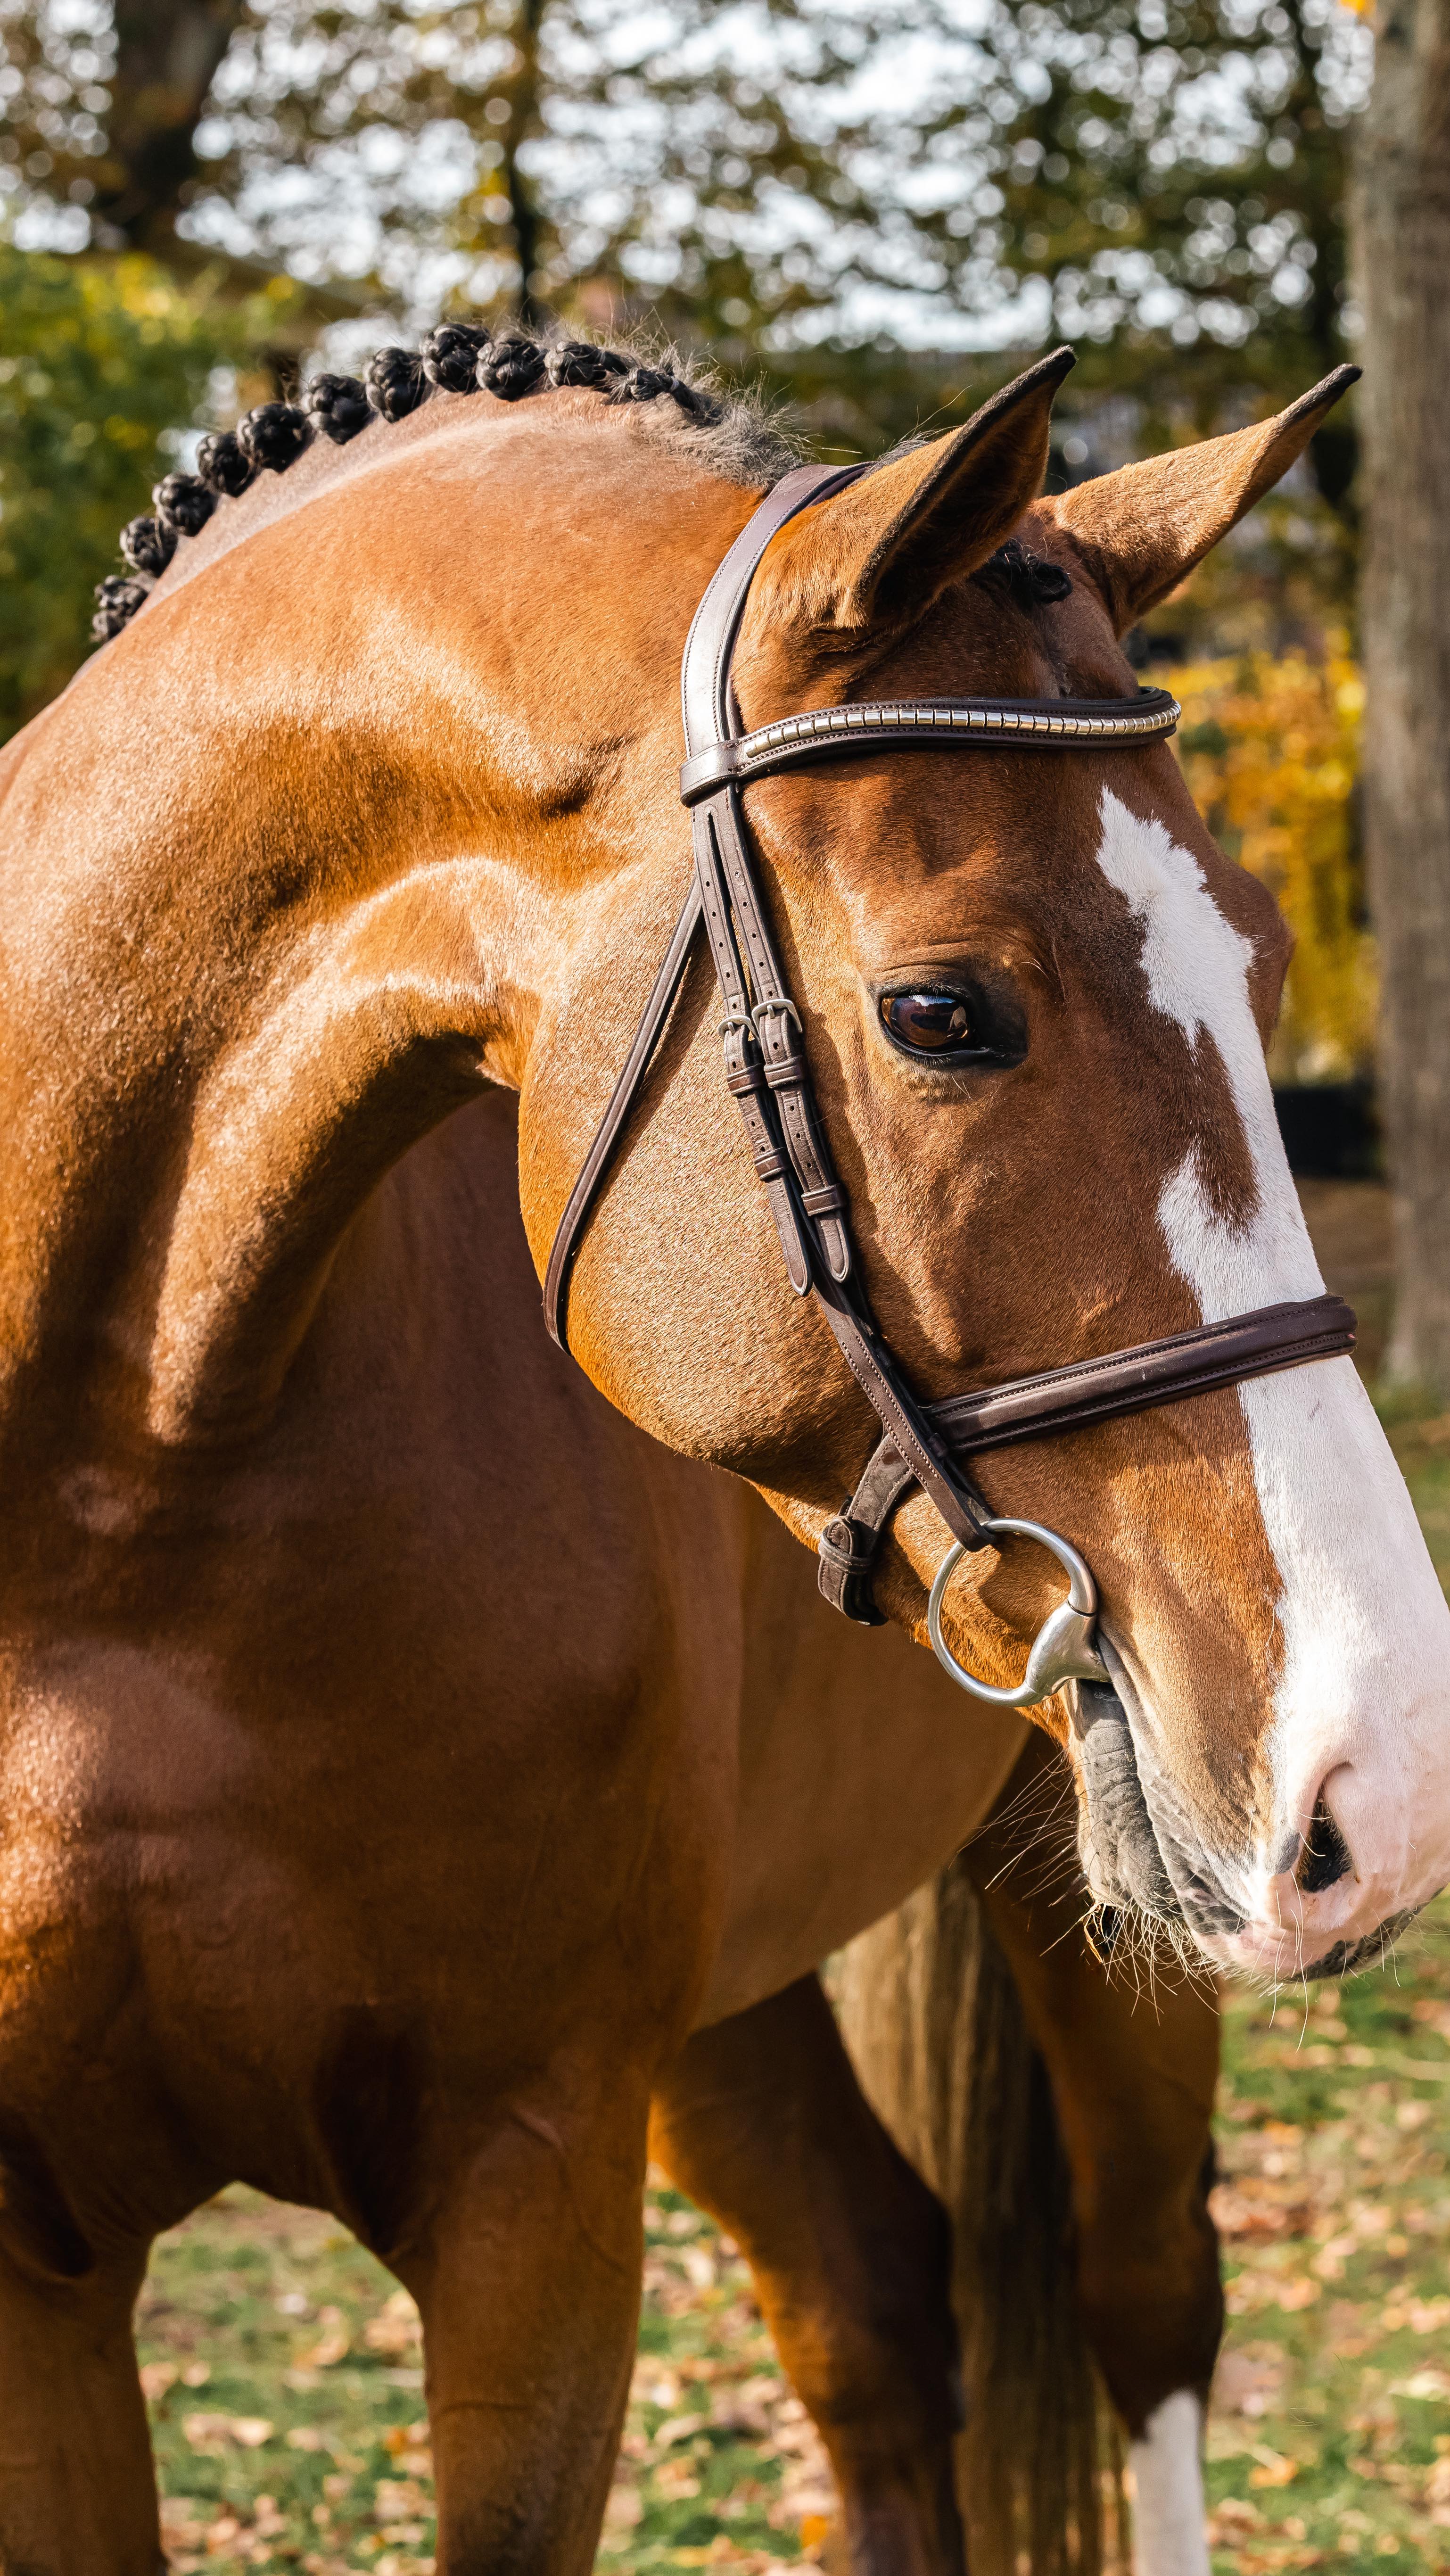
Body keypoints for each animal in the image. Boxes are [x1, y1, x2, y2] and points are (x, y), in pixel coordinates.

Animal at [0, 319, 1444, 2576]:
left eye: (1266, 956)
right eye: (943, 1013)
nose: (1376, 1761)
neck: (117, 1505)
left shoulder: (531, 2191)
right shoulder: (42, 2277)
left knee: (1138, 2313)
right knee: (874, 2311)